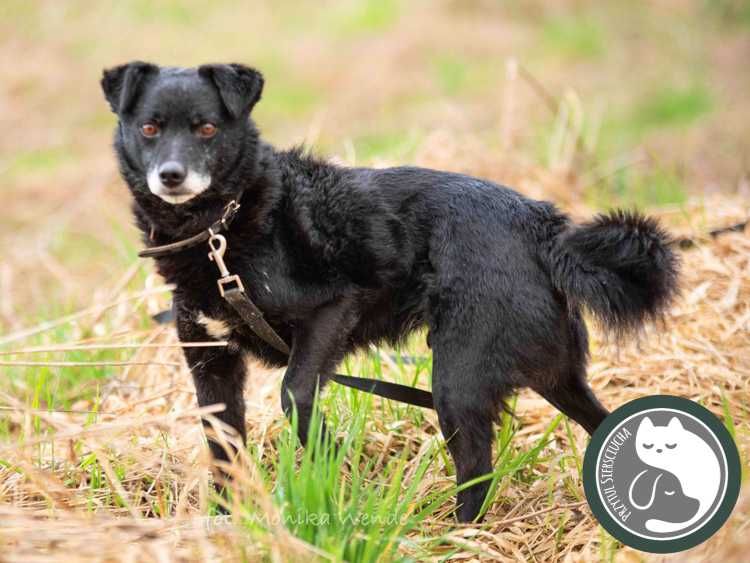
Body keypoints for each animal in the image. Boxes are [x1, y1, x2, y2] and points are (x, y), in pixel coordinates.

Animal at [100, 62, 680, 524]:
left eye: (206, 128)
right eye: (149, 128)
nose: (171, 176)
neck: (221, 226)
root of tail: (542, 226)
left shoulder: (332, 309)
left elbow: (295, 395)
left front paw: (332, 466)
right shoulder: (210, 363)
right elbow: (223, 450)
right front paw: (224, 525)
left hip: (458, 380)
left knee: (477, 470)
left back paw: (454, 537)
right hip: (553, 371)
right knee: (598, 421)